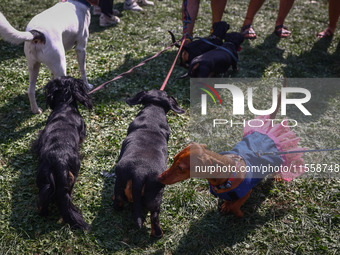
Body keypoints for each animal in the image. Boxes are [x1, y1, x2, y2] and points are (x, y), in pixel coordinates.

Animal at [112, 89, 183, 237]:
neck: (154, 109)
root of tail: (139, 172)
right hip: (154, 198)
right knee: (155, 217)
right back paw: (158, 234)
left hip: (120, 185)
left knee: (119, 202)